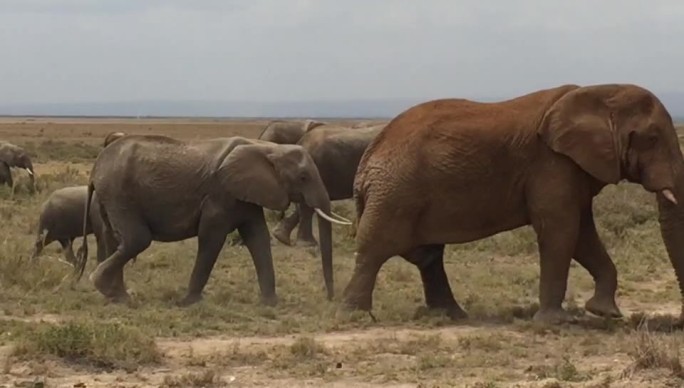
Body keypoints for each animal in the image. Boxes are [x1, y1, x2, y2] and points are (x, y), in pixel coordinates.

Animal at [73, 135, 352, 308]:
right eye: (303, 177)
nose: (330, 298)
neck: (267, 146)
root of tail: (95, 168)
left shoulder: (245, 193)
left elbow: (258, 237)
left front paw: (271, 304)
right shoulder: (221, 194)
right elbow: (212, 237)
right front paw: (189, 303)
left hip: (110, 197)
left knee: (115, 239)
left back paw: (117, 297)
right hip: (119, 193)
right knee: (136, 240)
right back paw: (107, 288)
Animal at [342, 83, 684, 326]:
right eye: (652, 138)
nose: (679, 321)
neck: (600, 92)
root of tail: (368, 158)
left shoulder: (571, 169)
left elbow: (582, 235)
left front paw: (604, 313)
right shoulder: (552, 164)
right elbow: (561, 230)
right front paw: (556, 322)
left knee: (427, 255)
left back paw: (450, 316)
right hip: (394, 194)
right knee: (376, 248)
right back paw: (357, 317)